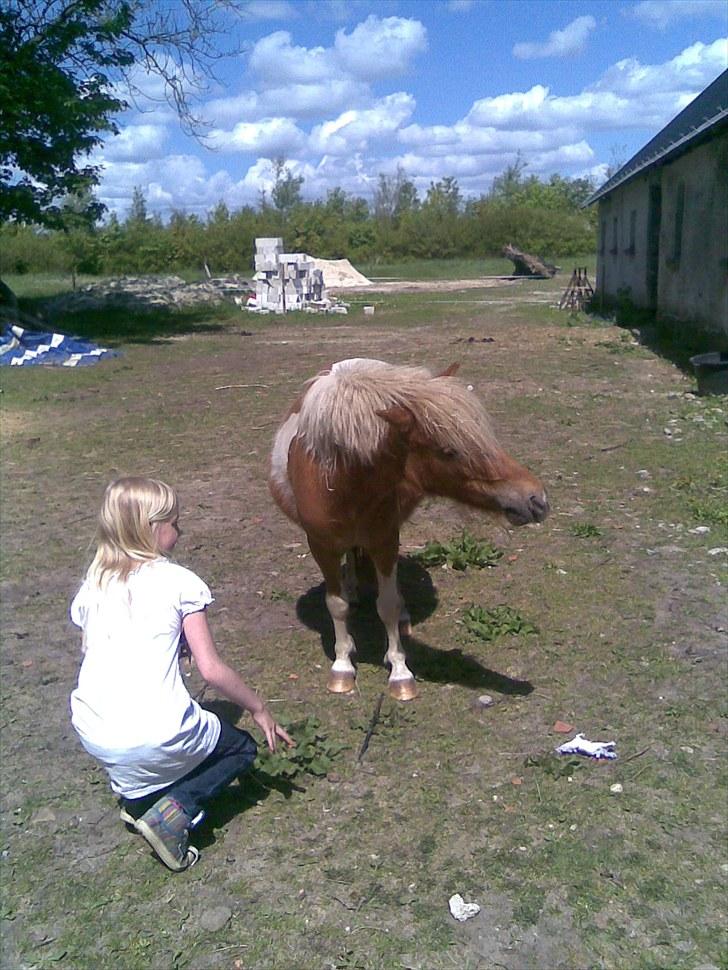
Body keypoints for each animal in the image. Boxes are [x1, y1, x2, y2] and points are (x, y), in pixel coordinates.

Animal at [270, 356, 548, 696]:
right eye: (448, 451)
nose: (536, 499)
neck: (339, 483)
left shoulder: (385, 539)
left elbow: (388, 604)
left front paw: (399, 670)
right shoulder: (321, 546)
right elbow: (336, 605)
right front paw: (343, 665)